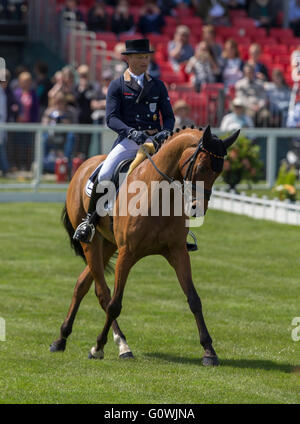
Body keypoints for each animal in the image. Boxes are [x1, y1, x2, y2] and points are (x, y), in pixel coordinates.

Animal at [49, 125, 239, 364]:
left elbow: (194, 299)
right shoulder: (127, 254)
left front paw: (209, 351)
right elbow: (115, 304)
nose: (198, 208)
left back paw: (61, 338)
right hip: (92, 244)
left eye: (219, 172)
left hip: (108, 244)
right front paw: (98, 347)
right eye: (202, 166)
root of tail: (84, 165)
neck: (158, 194)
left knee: (82, 284)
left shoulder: (177, 252)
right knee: (103, 293)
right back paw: (120, 344)